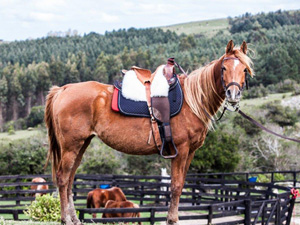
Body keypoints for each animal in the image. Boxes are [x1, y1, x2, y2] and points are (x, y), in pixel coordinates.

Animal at [44, 39, 254, 224]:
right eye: (224, 68)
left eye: (244, 69)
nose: (233, 94)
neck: (192, 100)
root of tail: (63, 89)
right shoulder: (181, 150)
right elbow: (176, 186)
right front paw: (172, 219)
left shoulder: (191, 152)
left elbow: (180, 184)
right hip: (71, 146)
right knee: (63, 178)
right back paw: (66, 219)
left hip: (81, 145)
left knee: (70, 180)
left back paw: (73, 219)